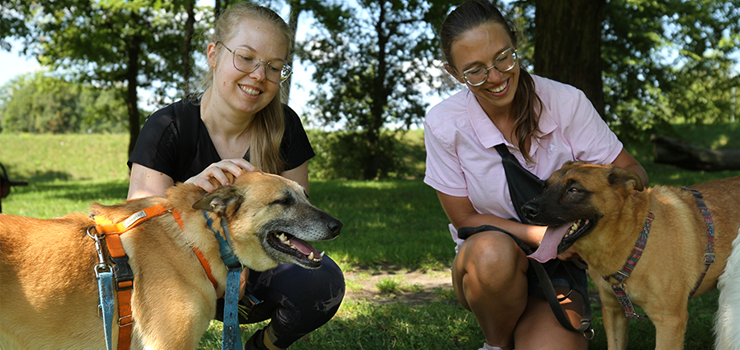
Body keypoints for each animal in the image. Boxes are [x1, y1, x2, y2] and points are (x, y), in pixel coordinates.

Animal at [520, 161, 740, 350]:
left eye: (574, 190)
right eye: (545, 187)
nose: (526, 209)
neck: (635, 238)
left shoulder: (670, 322)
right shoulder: (613, 312)